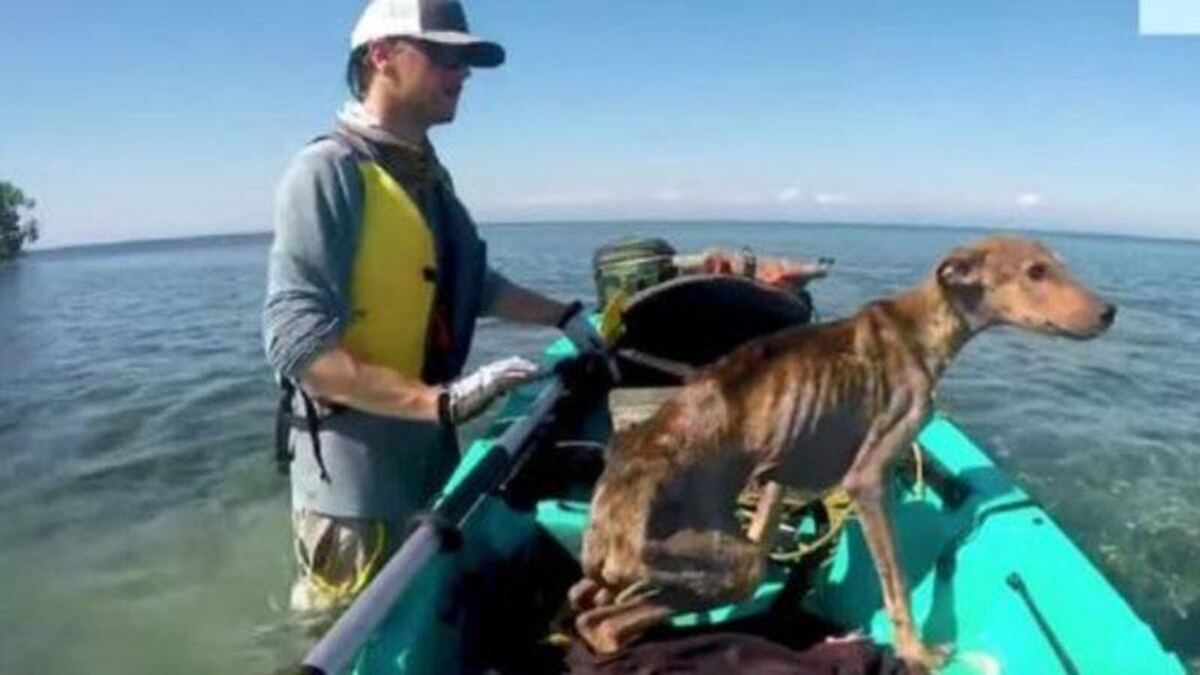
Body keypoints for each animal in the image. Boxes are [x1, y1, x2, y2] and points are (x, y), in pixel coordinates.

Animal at [571, 235, 1113, 667]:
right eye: (1036, 271)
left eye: (1057, 264)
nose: (1110, 312)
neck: (922, 327)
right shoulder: (868, 479)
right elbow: (896, 585)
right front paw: (916, 653)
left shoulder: (782, 468)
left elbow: (768, 517)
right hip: (726, 564)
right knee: (605, 622)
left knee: (594, 611)